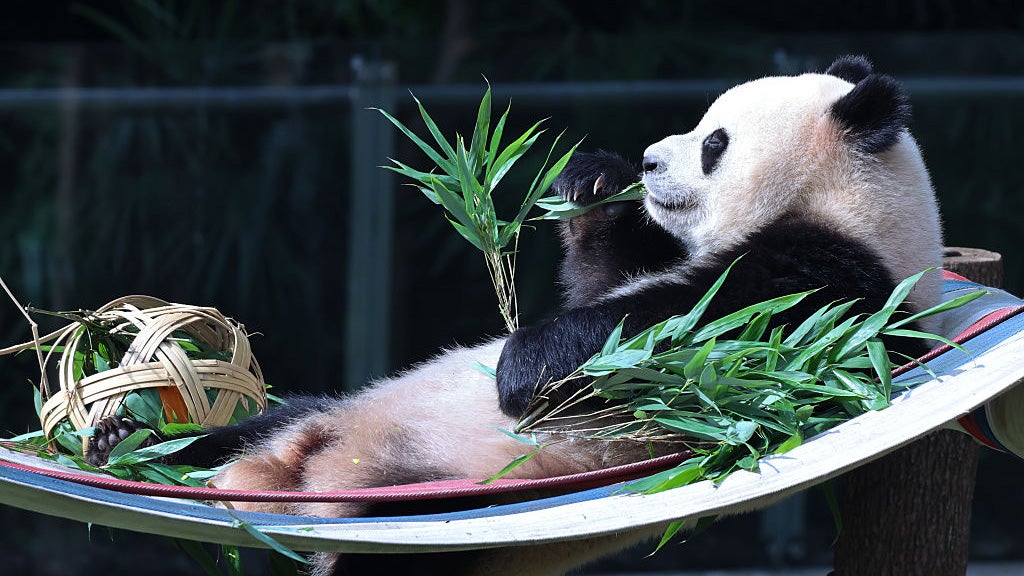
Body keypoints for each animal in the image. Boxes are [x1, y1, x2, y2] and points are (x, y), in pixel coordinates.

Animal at [86, 55, 943, 576]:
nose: (649, 163)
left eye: (715, 144)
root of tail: (293, 475)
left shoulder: (838, 295)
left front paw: (523, 362)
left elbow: (688, 333)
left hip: (441, 506)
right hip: (323, 415)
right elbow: (607, 283)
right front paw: (592, 182)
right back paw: (123, 440)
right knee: (256, 421)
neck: (855, 208)